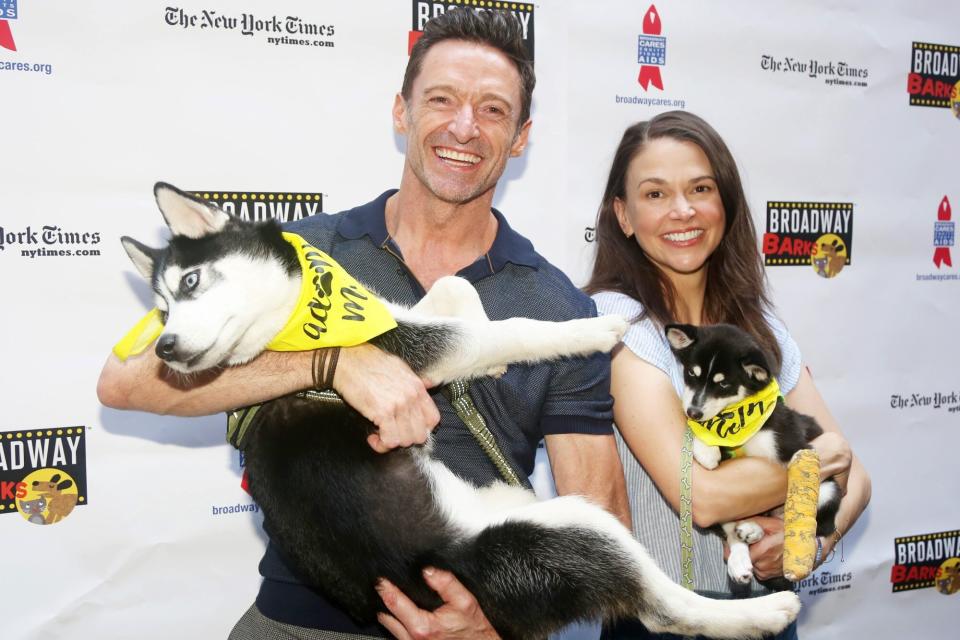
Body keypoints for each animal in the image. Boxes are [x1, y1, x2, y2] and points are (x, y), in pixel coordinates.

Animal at [118, 184, 804, 640]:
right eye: (161, 309)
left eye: (187, 285)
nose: (164, 349)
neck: (300, 323)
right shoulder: (413, 348)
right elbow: (510, 331)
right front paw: (594, 327)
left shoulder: (406, 319)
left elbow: (455, 287)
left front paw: (483, 353)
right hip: (575, 532)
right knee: (664, 608)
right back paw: (759, 611)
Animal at [668, 324, 840, 584]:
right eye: (691, 373)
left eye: (724, 385)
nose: (693, 412)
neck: (738, 417)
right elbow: (706, 434)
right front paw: (706, 448)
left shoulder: (796, 447)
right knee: (734, 528)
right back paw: (743, 548)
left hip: (829, 490)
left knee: (807, 523)